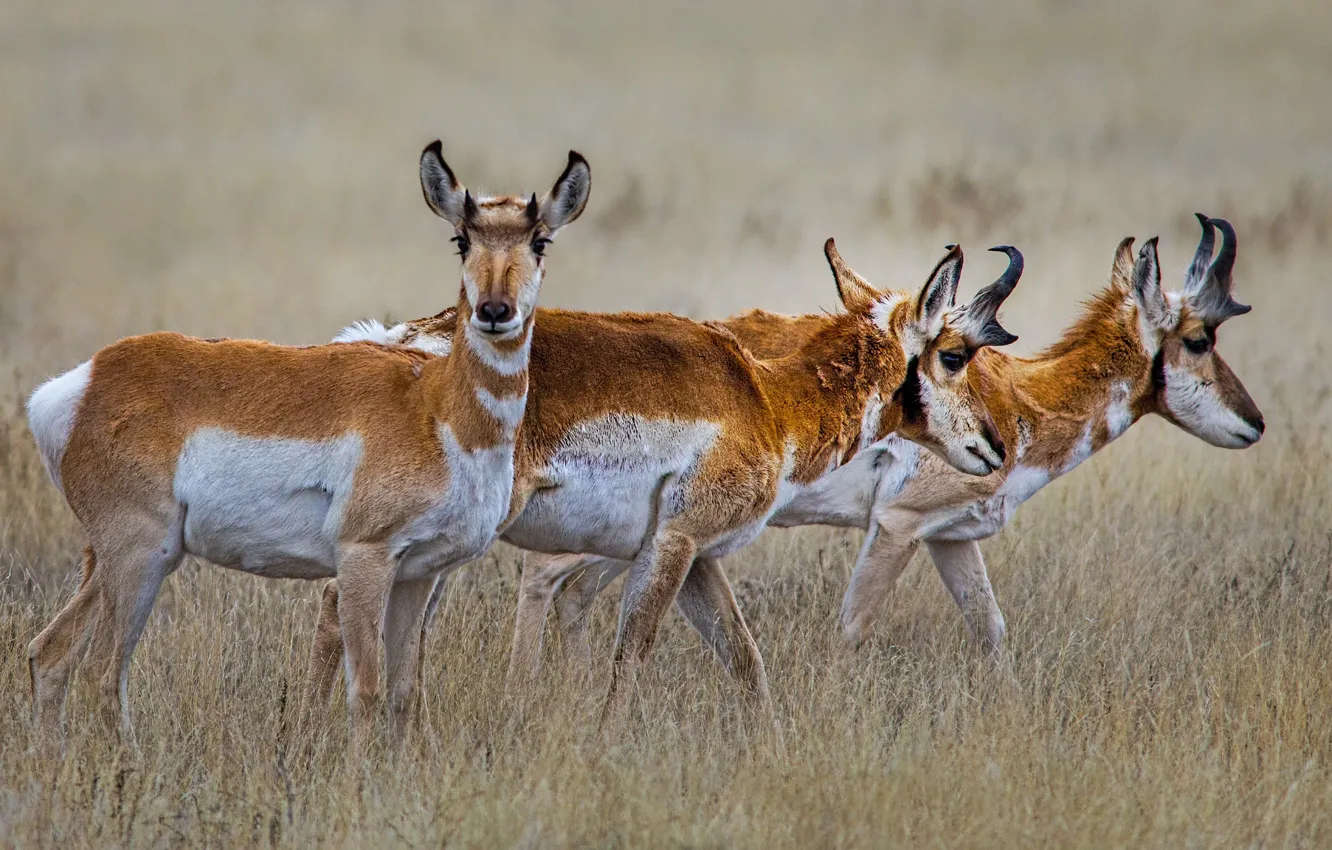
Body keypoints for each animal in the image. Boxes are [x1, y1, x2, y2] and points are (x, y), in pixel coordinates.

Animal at [24, 141, 592, 745]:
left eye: (540, 241)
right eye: (461, 238)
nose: (493, 311)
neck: (437, 408)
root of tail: (83, 383)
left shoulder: (418, 574)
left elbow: (403, 694)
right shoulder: (364, 559)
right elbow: (365, 693)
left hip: (129, 558)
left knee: (51, 652)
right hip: (139, 555)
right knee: (103, 674)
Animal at [306, 241, 1024, 723]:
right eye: (955, 355)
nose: (998, 445)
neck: (766, 397)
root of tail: (409, 341)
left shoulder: (700, 557)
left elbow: (745, 659)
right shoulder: (673, 544)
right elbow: (632, 656)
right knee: (341, 603)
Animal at [477, 215, 1265, 664]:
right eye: (1199, 337)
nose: (1255, 423)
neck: (1019, 399)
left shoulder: (952, 540)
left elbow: (993, 634)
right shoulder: (899, 525)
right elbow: (852, 631)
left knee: (569, 591)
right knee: (546, 577)